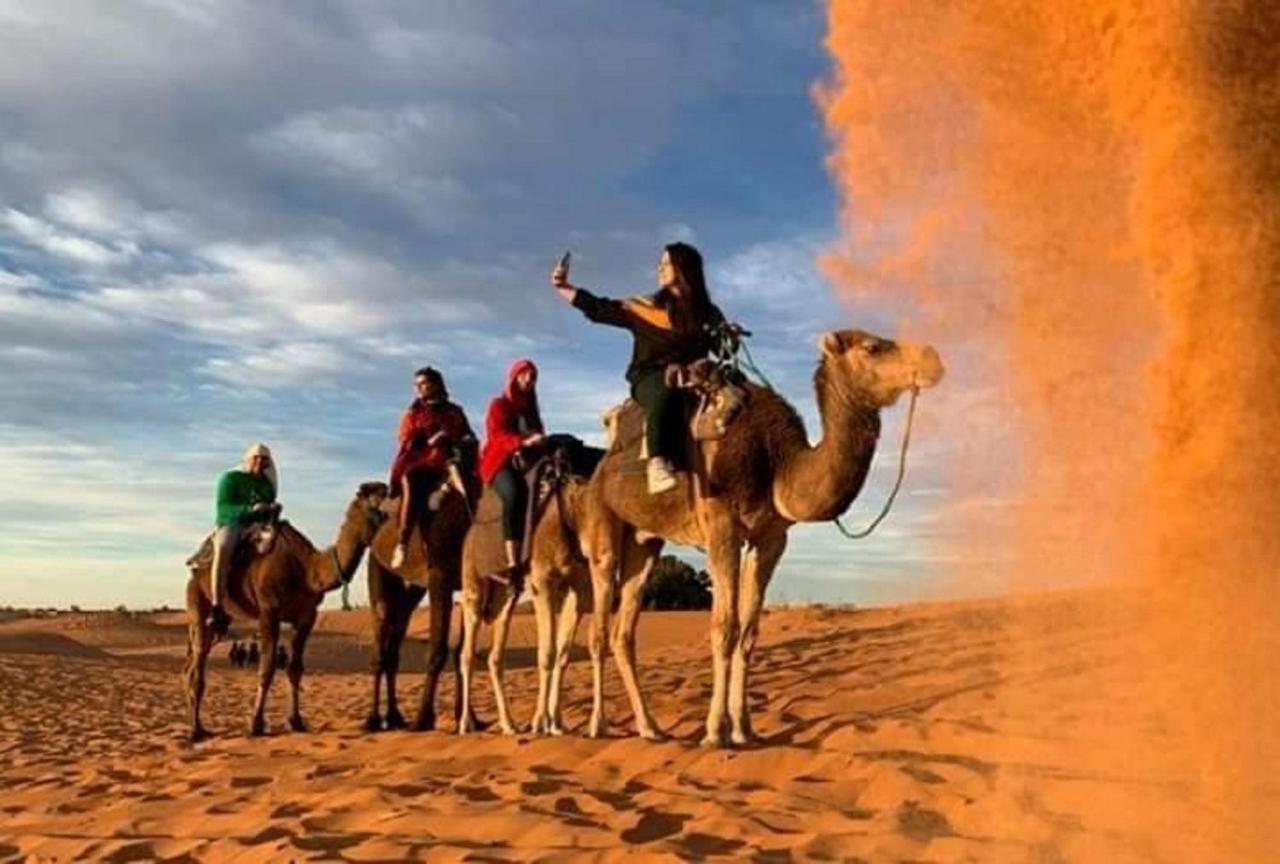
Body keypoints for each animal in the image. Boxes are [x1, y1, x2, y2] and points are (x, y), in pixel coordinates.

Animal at [183, 478, 386, 742]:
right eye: (374, 504)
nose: (384, 488)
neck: (307, 570)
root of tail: (195, 568)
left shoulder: (307, 616)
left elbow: (295, 668)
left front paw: (296, 721)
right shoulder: (269, 610)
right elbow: (267, 667)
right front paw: (256, 724)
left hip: (220, 624)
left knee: (196, 661)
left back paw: (198, 725)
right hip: (197, 600)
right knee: (197, 665)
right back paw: (195, 730)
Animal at [363, 483, 473, 732]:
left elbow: (462, 652)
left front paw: (468, 719)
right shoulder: (440, 575)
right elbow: (437, 650)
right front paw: (423, 719)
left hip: (411, 589)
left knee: (396, 636)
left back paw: (394, 716)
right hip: (377, 564)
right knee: (381, 630)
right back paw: (372, 719)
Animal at [458, 445, 601, 737]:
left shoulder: (579, 588)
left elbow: (563, 653)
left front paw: (557, 724)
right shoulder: (543, 581)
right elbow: (547, 653)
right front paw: (540, 722)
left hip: (505, 596)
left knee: (495, 657)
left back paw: (509, 724)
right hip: (473, 586)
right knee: (466, 655)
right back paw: (466, 724)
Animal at [581, 327, 942, 747]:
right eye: (872, 347)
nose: (933, 360)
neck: (776, 464)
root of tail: (603, 462)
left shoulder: (770, 538)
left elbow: (749, 632)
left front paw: (745, 729)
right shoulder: (722, 527)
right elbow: (724, 629)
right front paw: (714, 732)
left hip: (646, 542)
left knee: (624, 631)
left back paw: (650, 727)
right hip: (602, 524)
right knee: (599, 626)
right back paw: (597, 725)